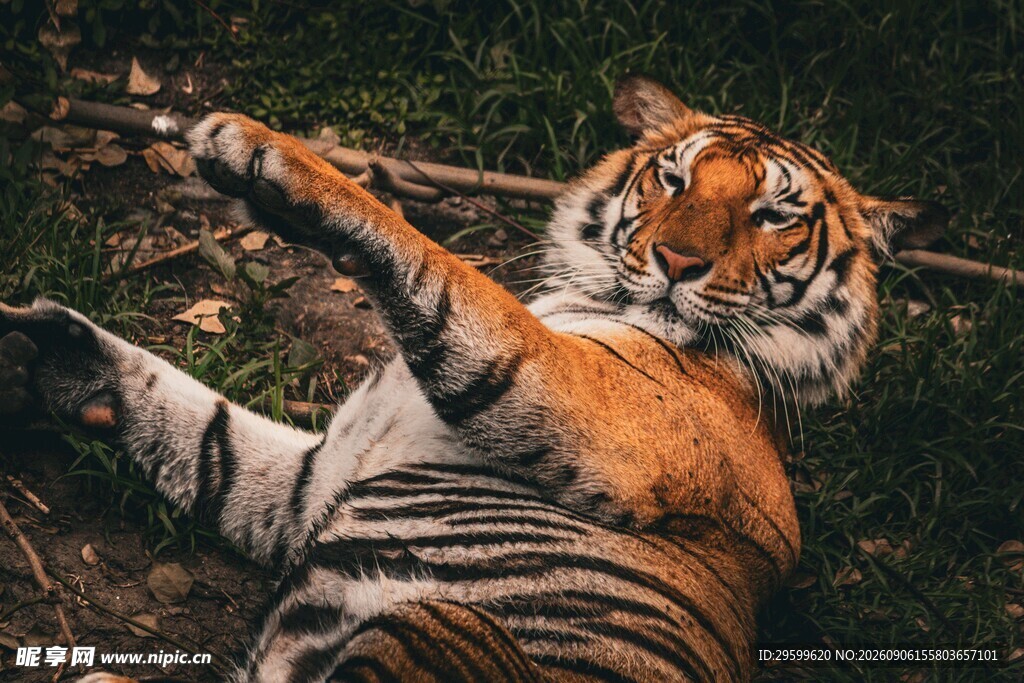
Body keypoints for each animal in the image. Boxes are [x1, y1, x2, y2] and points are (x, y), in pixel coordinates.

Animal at [0, 75, 946, 682]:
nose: (678, 260)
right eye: (673, 177)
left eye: (774, 213)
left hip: (438, 619)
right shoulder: (314, 476)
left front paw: (263, 154)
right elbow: (199, 427)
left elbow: (441, 265)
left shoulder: (578, 396)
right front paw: (32, 354)